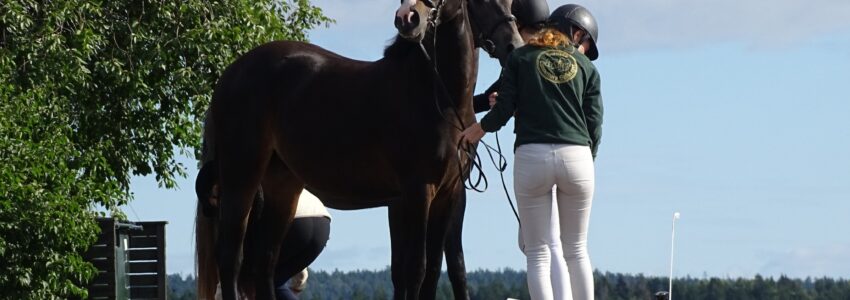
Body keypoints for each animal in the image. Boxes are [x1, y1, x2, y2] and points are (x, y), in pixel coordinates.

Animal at [195, 0, 520, 298]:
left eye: (508, 2)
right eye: (480, 2)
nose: (408, 18)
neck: (437, 97)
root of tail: (230, 75)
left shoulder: (447, 194)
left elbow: (432, 270)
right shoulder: (418, 191)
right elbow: (416, 268)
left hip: (282, 185)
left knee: (264, 263)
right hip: (241, 177)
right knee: (231, 258)